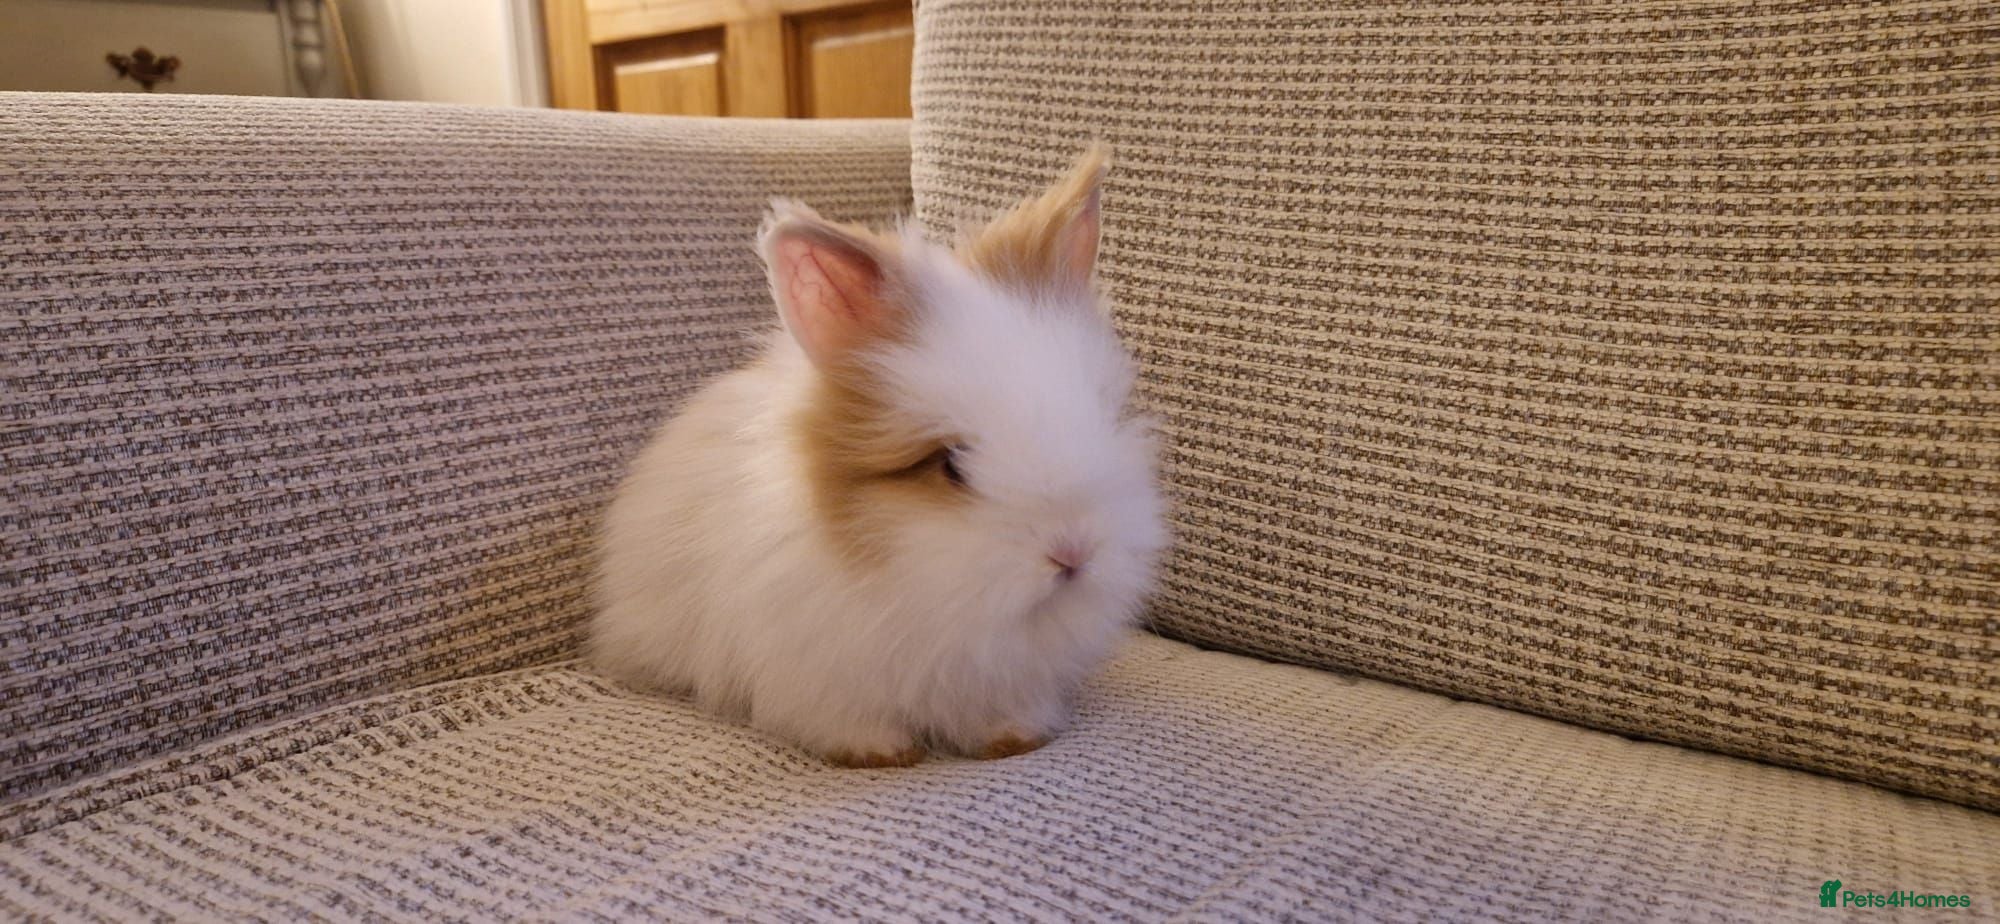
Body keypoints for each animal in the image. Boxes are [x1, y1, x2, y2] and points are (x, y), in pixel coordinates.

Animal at [589, 146, 1166, 768]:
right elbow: (850, 722)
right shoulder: (817, 673)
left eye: (1102, 418)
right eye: (951, 464)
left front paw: (1013, 741)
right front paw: (883, 755)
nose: (1073, 554)